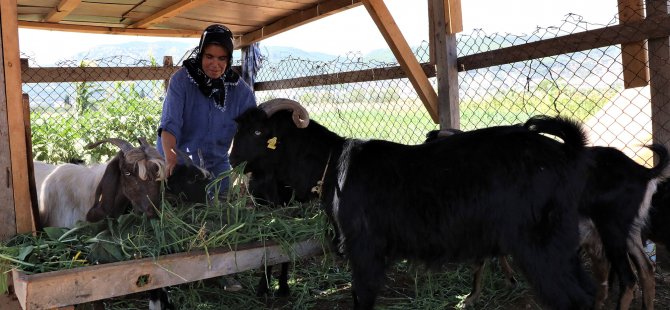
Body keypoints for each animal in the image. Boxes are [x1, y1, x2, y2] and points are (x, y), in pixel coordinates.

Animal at [232, 98, 600, 308]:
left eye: (258, 133)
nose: (231, 159)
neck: (333, 163)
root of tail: (566, 152)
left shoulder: (365, 249)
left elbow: (362, 296)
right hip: (562, 245)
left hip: (539, 246)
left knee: (573, 300)